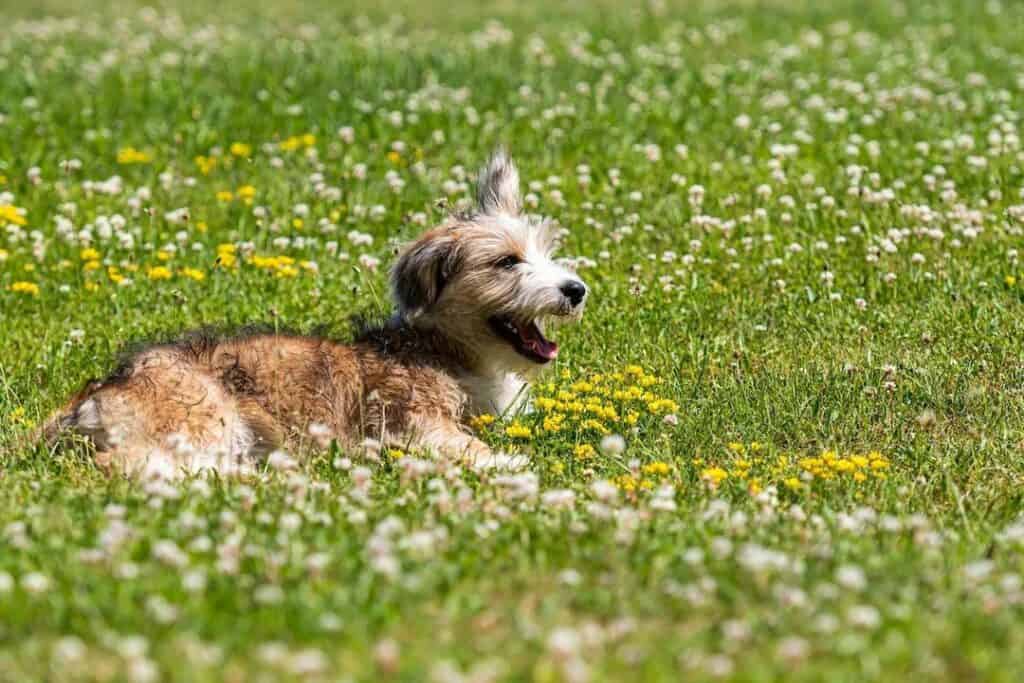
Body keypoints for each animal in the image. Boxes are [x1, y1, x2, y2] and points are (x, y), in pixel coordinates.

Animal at [39, 152, 589, 479]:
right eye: (507, 262)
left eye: (545, 252)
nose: (577, 290)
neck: (444, 349)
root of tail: (92, 397)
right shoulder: (415, 424)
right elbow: (468, 447)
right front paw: (511, 462)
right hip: (204, 418)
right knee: (124, 463)